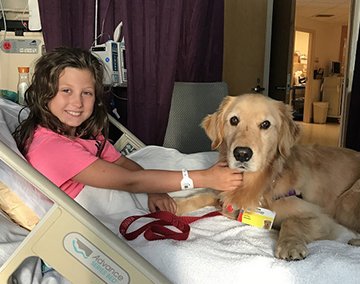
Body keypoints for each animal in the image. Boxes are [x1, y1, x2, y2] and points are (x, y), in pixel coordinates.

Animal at [176, 93, 360, 260]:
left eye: (265, 124)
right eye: (234, 120)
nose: (242, 154)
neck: (254, 183)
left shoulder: (321, 218)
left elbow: (291, 221)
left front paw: (290, 245)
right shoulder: (222, 193)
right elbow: (199, 195)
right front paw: (173, 205)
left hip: (346, 200)